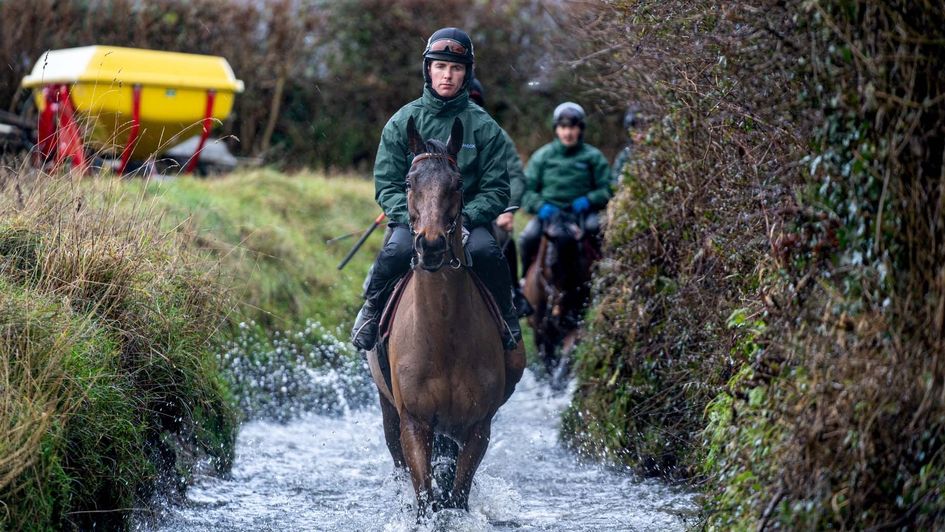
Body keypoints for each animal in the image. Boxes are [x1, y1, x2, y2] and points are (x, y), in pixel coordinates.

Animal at [366, 116, 524, 520]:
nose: (432, 244)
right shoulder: (414, 423)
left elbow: (456, 496)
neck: (443, 336)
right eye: (409, 182)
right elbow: (426, 498)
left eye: (457, 184)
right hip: (388, 412)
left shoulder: (478, 428)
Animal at [520, 210, 592, 388]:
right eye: (552, 265)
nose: (564, 317)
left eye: (577, 264)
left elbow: (567, 356)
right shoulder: (540, 334)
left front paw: (560, 383)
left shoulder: (576, 326)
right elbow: (548, 363)